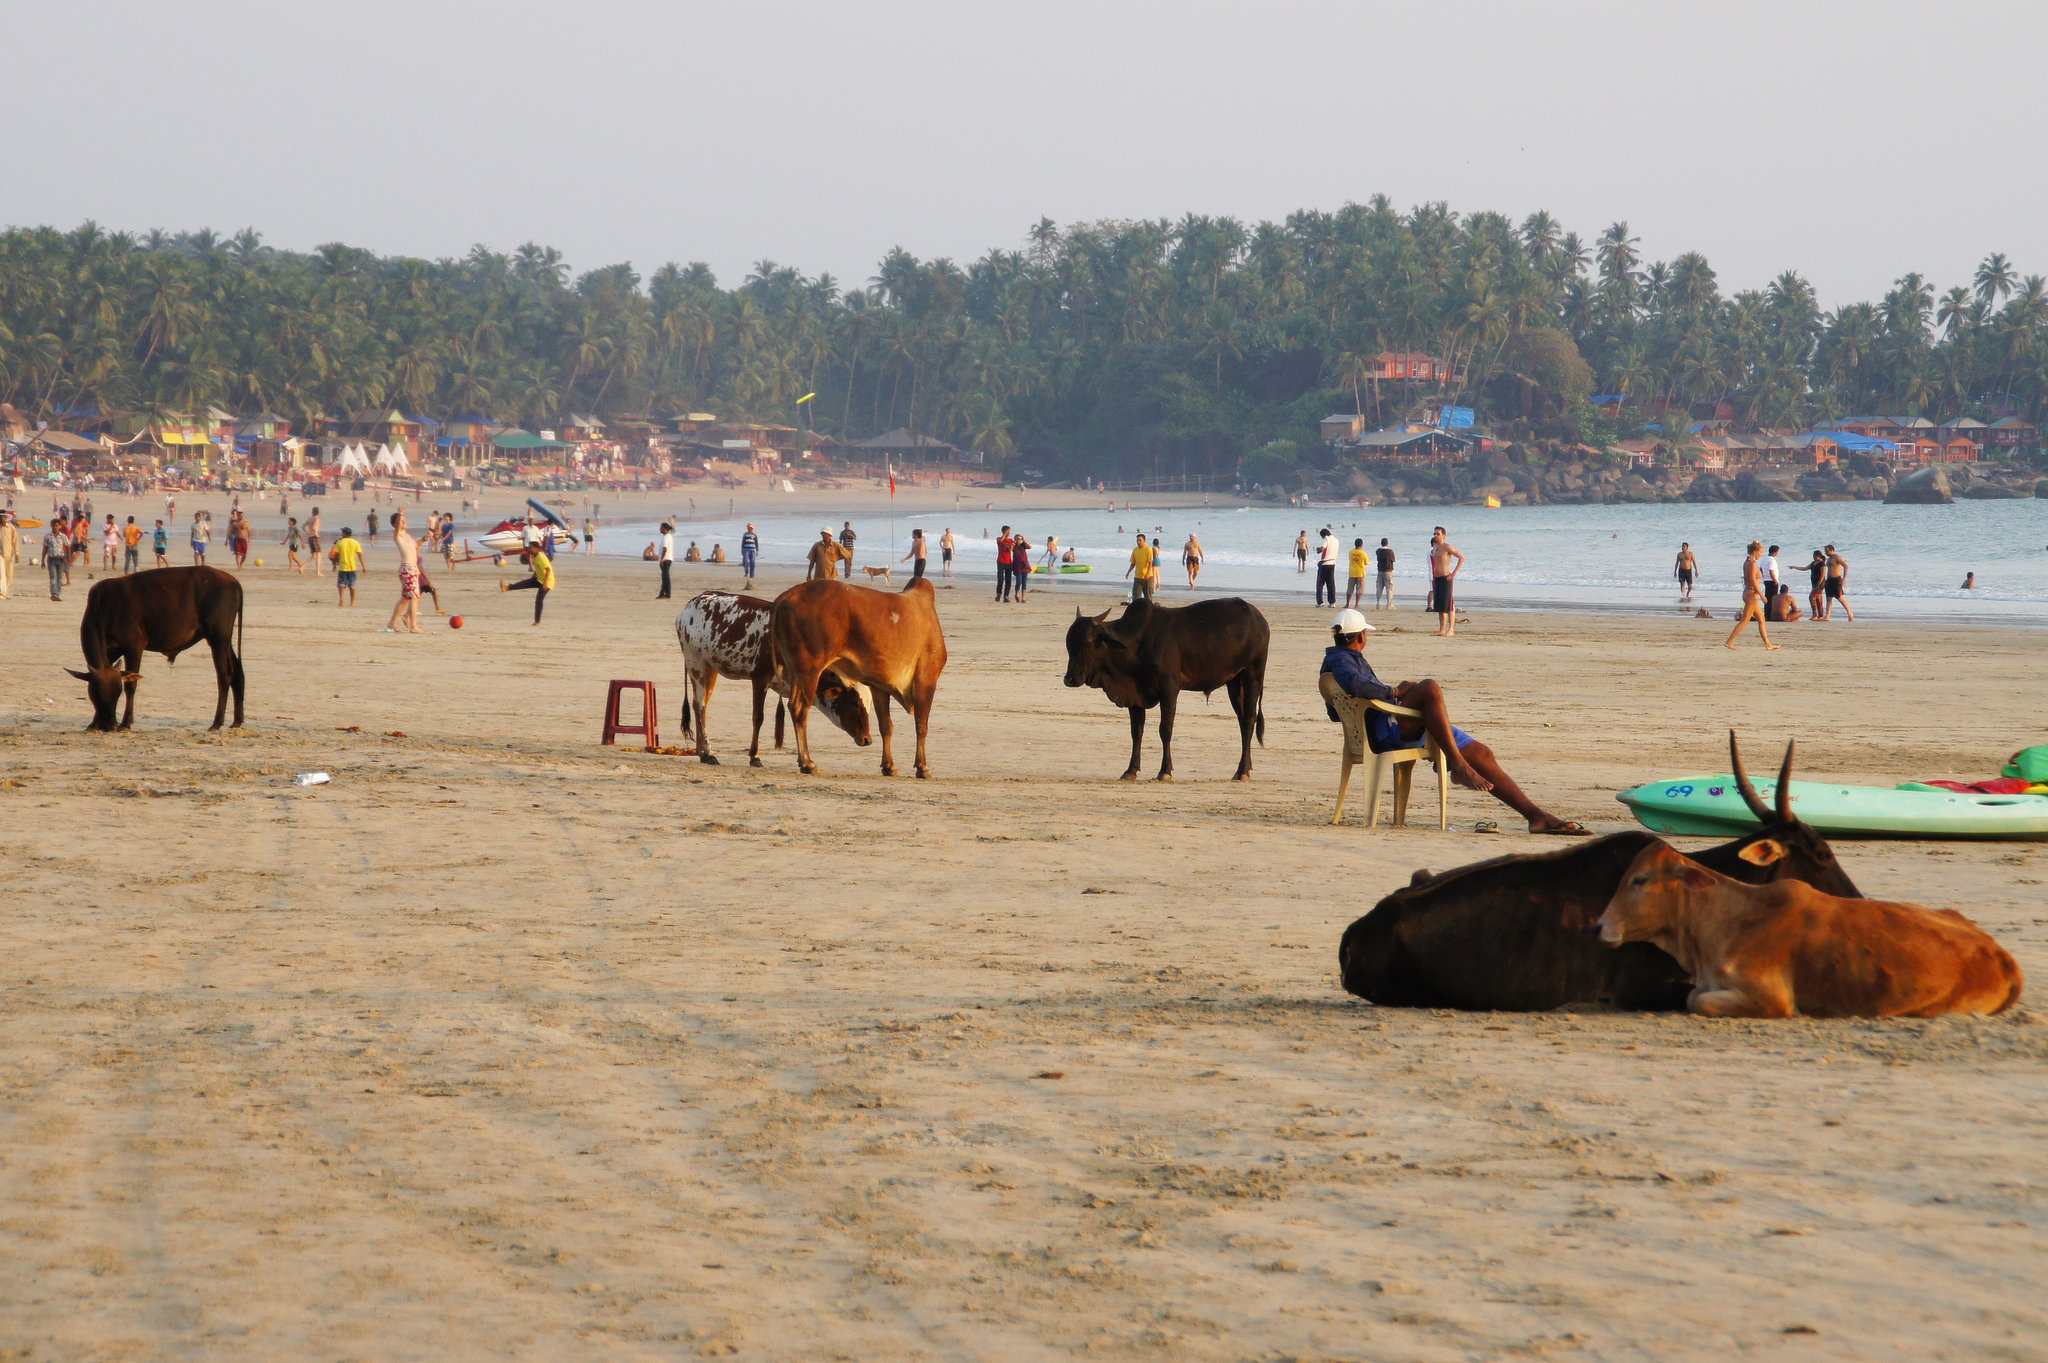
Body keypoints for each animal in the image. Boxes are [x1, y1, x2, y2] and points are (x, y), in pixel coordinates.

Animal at [69, 560, 245, 732]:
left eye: (116, 694)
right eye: (97, 694)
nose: (111, 725)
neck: (105, 607)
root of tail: (232, 580)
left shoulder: (133, 648)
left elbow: (131, 685)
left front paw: (125, 723)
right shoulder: (110, 652)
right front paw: (93, 723)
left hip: (218, 639)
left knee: (224, 675)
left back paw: (217, 722)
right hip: (224, 642)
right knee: (237, 671)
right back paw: (237, 721)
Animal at [667, 589, 868, 765]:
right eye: (854, 702)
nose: (867, 739)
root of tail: (692, 602)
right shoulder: (759, 678)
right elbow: (758, 717)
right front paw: (755, 756)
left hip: (710, 668)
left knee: (698, 705)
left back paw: (701, 752)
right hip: (696, 663)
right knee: (701, 706)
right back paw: (709, 753)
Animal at [770, 573, 946, 773]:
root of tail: (791, 593)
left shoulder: (879, 686)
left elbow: (886, 726)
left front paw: (888, 765)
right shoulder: (926, 679)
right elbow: (921, 725)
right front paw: (922, 767)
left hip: (795, 673)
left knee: (793, 707)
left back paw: (803, 761)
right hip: (809, 671)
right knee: (800, 709)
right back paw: (807, 762)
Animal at [1064, 593, 1269, 773]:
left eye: (1088, 643)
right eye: (1068, 644)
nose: (1069, 679)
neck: (1136, 643)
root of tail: (1258, 617)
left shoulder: (1169, 690)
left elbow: (1165, 729)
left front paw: (1164, 771)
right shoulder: (1135, 696)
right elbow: (1136, 731)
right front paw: (1131, 770)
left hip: (1253, 675)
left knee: (1249, 719)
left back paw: (1242, 770)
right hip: (1234, 683)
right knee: (1242, 720)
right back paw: (1244, 769)